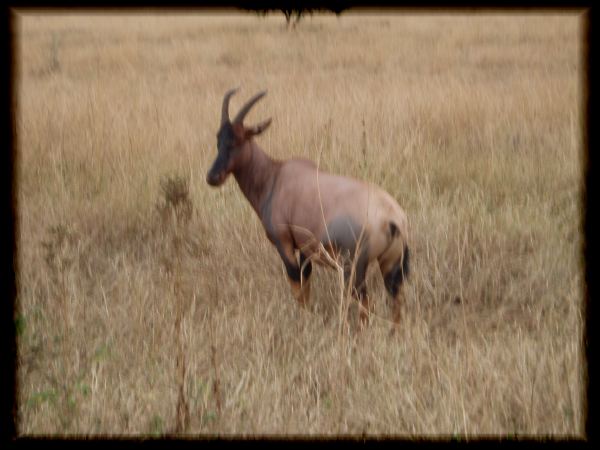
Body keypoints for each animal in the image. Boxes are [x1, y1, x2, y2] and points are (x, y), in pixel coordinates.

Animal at [205, 89, 408, 334]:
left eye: (238, 139)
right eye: (219, 138)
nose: (212, 177)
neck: (276, 176)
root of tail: (392, 217)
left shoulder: (284, 243)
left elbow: (297, 285)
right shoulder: (304, 248)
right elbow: (306, 281)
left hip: (353, 268)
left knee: (367, 303)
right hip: (391, 265)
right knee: (396, 303)